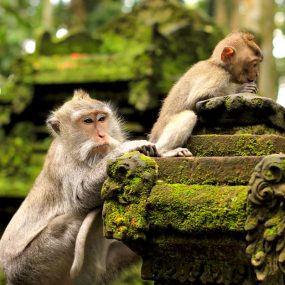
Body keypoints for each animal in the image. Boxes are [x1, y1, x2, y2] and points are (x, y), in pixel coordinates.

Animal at [0, 90, 156, 284]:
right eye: (87, 121)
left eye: (101, 119)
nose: (102, 135)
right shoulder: (63, 161)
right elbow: (80, 196)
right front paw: (127, 147)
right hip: (30, 266)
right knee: (69, 222)